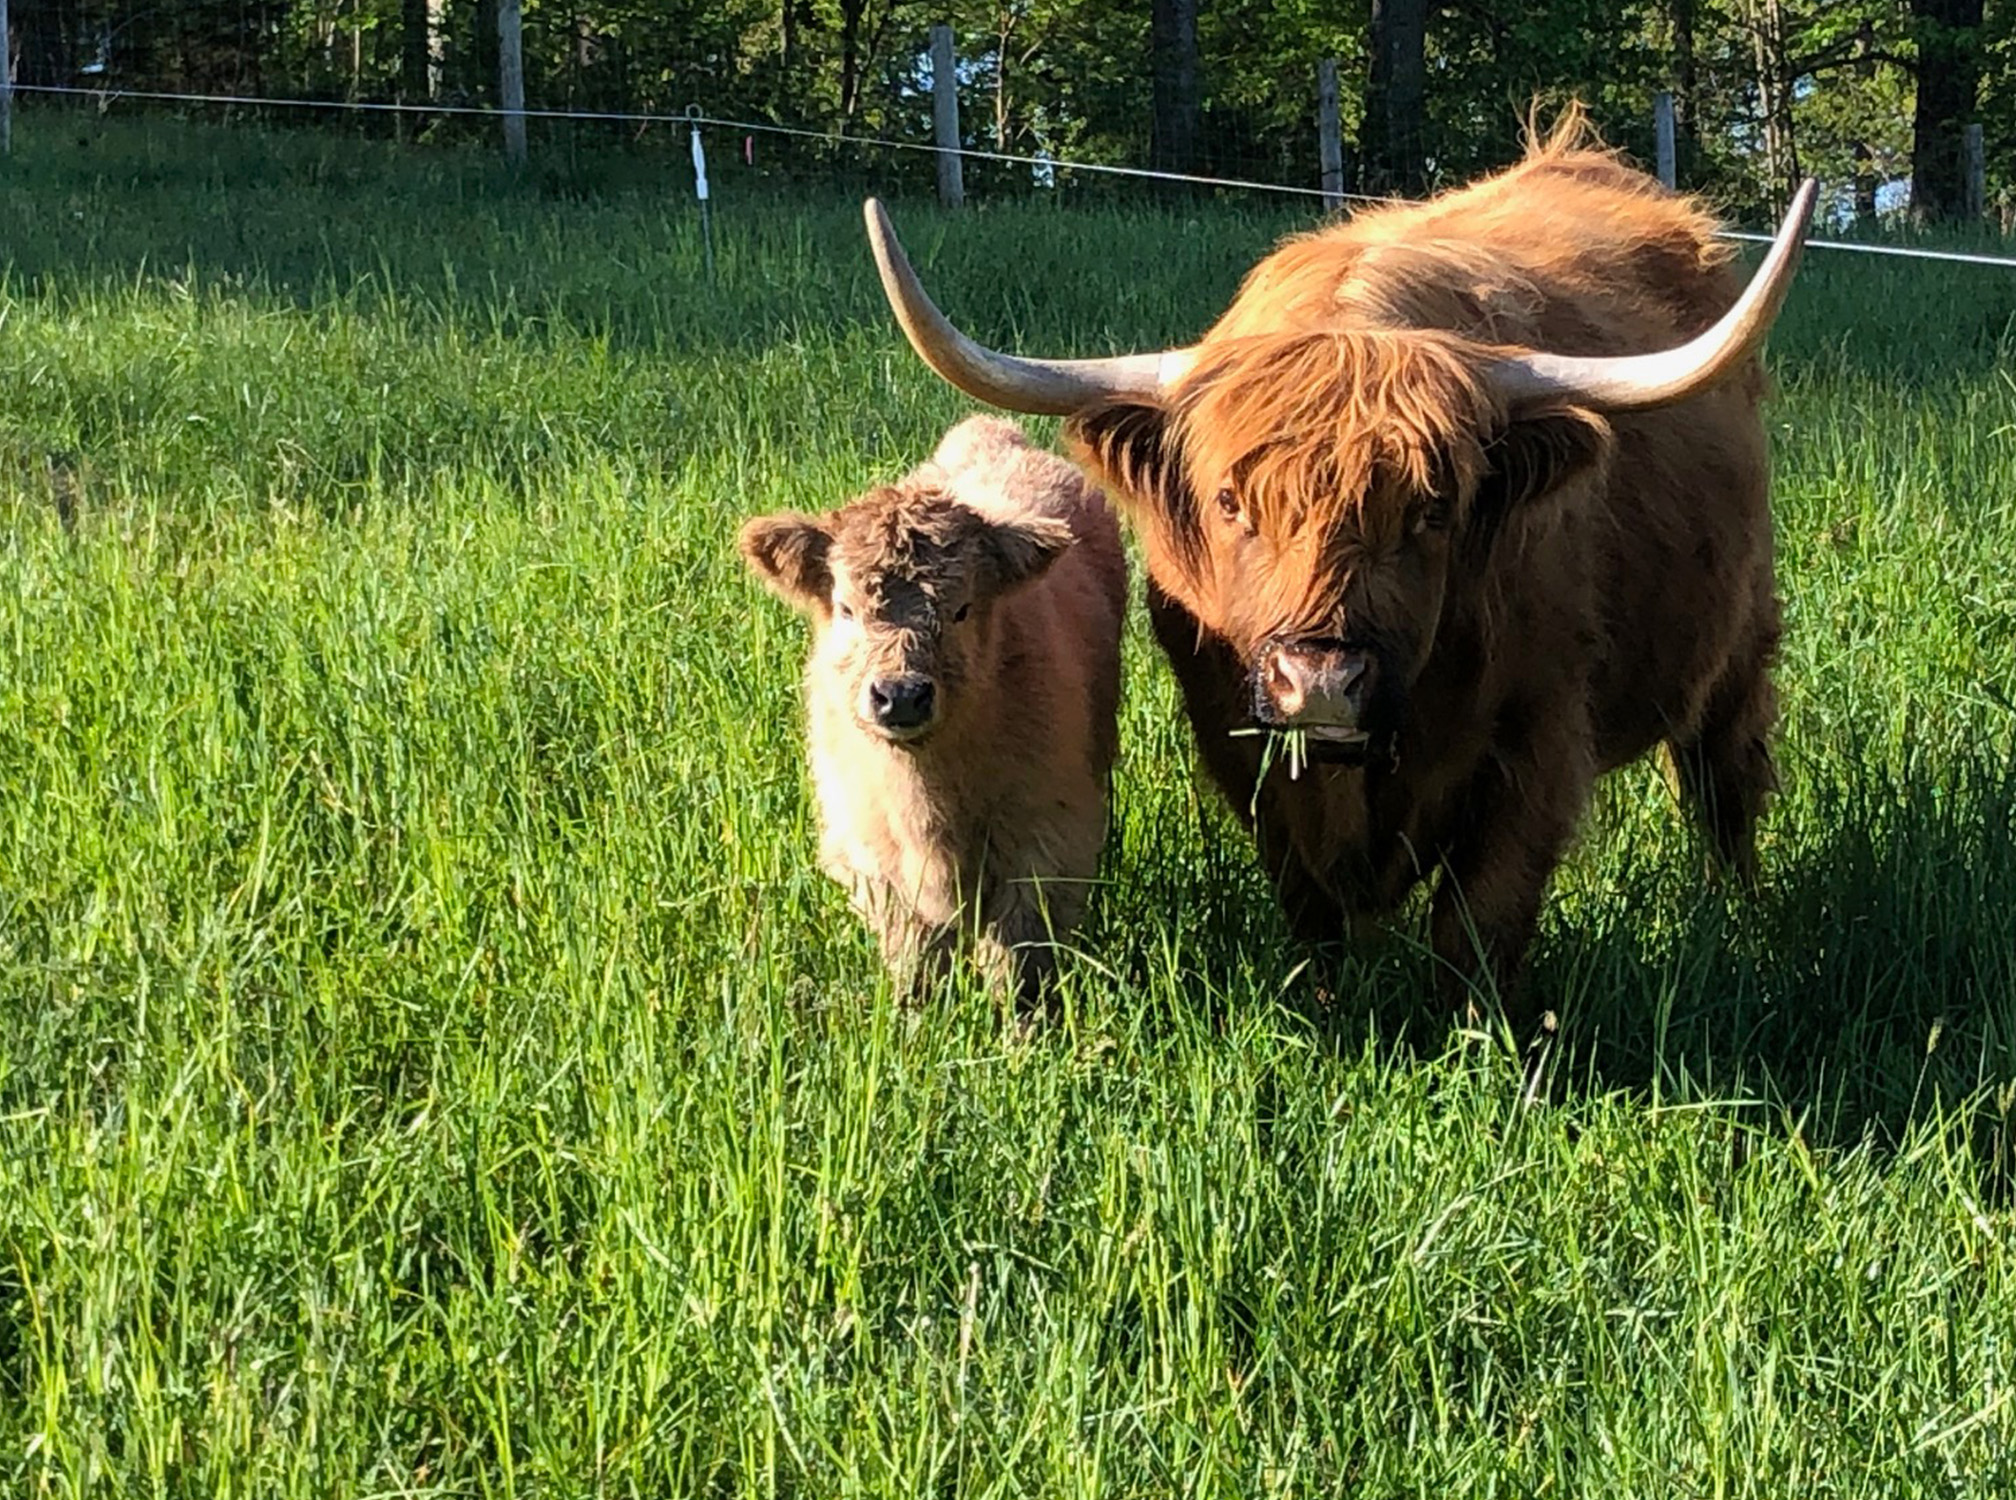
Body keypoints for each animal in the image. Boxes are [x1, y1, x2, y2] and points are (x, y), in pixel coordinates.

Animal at [739, 415, 1128, 1010]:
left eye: (962, 608)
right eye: (846, 608)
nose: (900, 695)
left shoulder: (1047, 839)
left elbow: (1016, 959)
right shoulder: (871, 855)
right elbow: (917, 958)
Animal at [859, 115, 1817, 1012]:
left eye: (1432, 508)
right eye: (1230, 502)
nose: (1319, 682)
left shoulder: (1533, 748)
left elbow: (1477, 927)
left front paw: (1475, 1047)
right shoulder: (1247, 753)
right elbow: (1313, 908)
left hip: (1740, 637)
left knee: (1724, 780)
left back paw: (1738, 920)